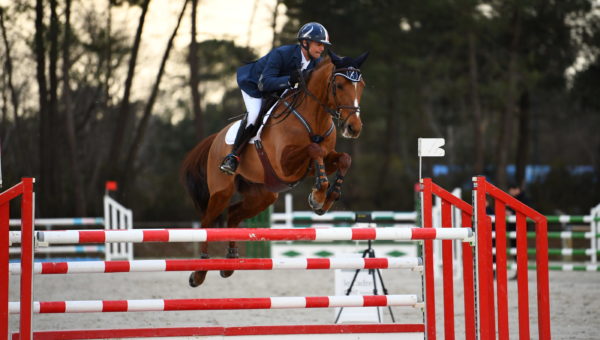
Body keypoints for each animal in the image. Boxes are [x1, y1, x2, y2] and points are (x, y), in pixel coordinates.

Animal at [179, 50, 366, 286]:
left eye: (362, 86)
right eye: (340, 85)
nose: (354, 128)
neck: (314, 117)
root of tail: (216, 138)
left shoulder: (319, 161)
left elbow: (344, 159)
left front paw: (328, 197)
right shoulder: (286, 164)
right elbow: (314, 149)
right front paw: (318, 195)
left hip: (263, 195)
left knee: (233, 215)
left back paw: (230, 263)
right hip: (222, 191)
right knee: (207, 222)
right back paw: (199, 271)